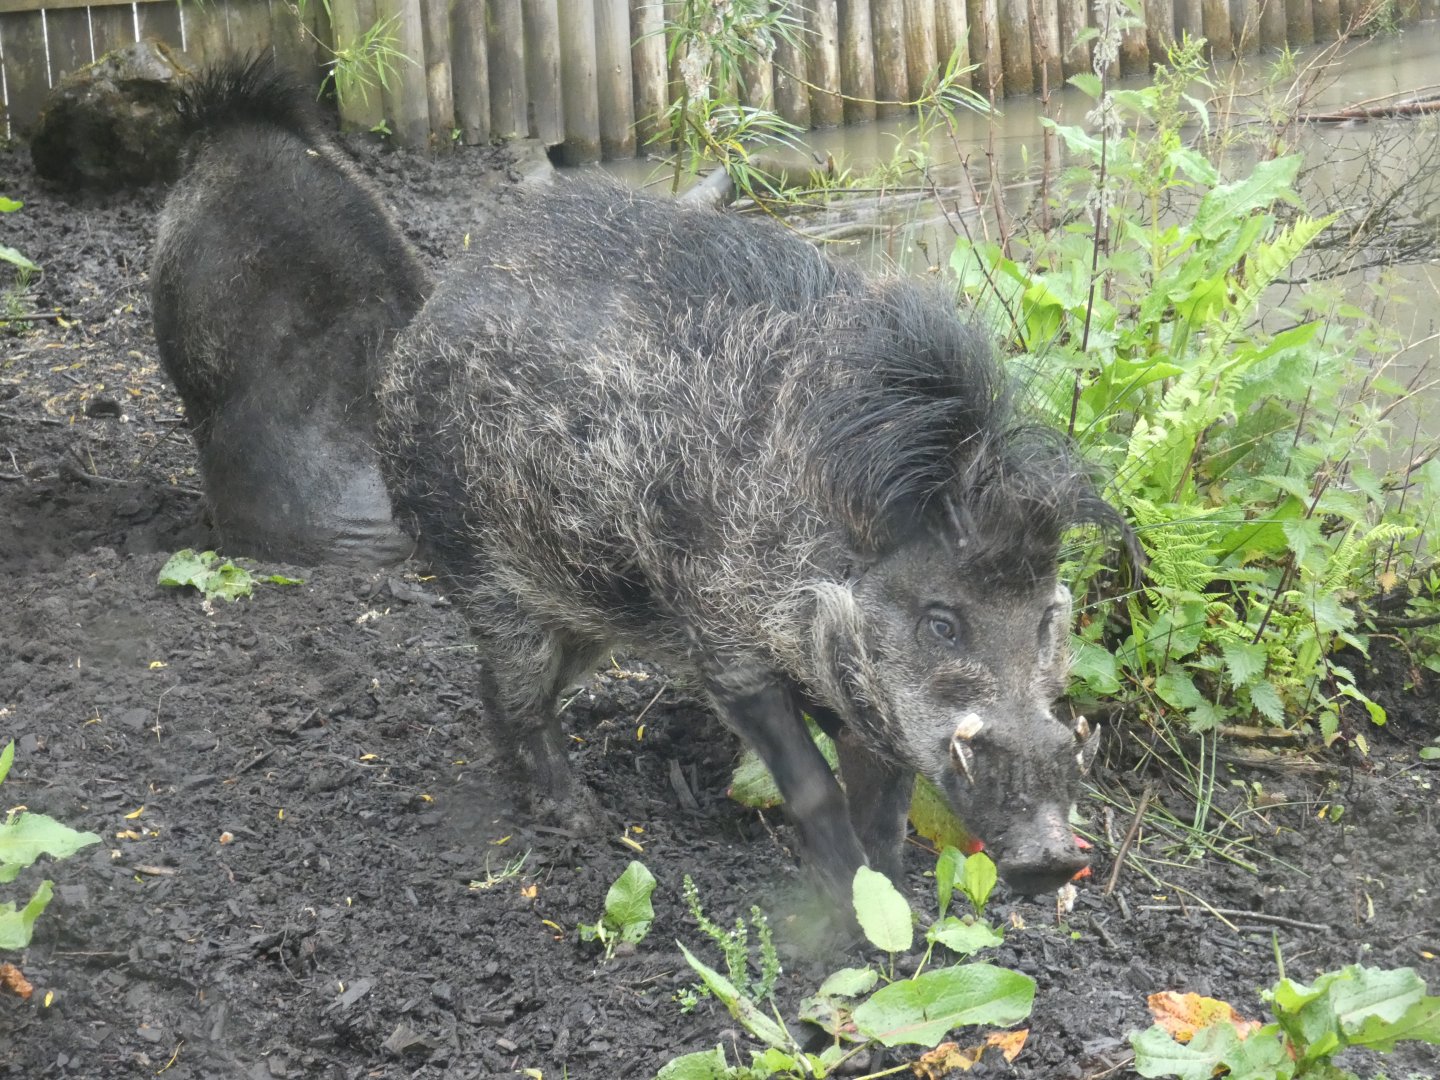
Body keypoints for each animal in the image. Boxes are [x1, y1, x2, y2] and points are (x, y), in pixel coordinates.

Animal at [376, 181, 1128, 897]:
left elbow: (886, 807)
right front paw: (846, 903)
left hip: (585, 610)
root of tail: (432, 306)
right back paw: (581, 821)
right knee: (519, 694)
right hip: (482, 576)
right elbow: (813, 786)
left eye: (1046, 618)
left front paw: (893, 909)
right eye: (941, 623)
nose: (1054, 857)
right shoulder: (722, 644)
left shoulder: (861, 692)